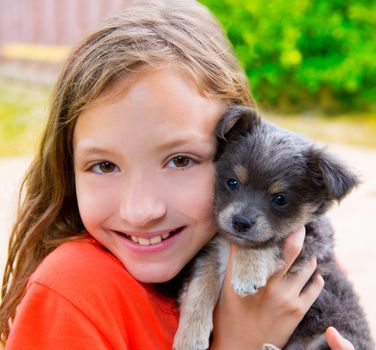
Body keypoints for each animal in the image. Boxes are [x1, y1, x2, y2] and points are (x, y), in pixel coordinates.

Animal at [173, 105, 374, 350]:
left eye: (280, 199)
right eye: (232, 182)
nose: (240, 222)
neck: (231, 245)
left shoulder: (311, 242)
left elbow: (270, 241)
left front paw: (247, 271)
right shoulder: (211, 253)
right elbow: (199, 289)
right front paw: (190, 336)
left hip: (334, 335)